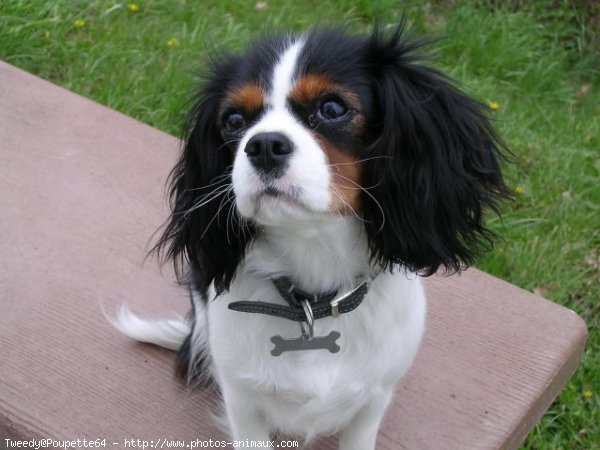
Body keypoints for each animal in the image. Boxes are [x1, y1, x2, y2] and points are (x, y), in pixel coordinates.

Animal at [112, 21, 506, 450]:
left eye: (332, 108)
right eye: (233, 120)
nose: (264, 145)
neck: (312, 293)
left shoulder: (374, 397)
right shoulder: (241, 398)